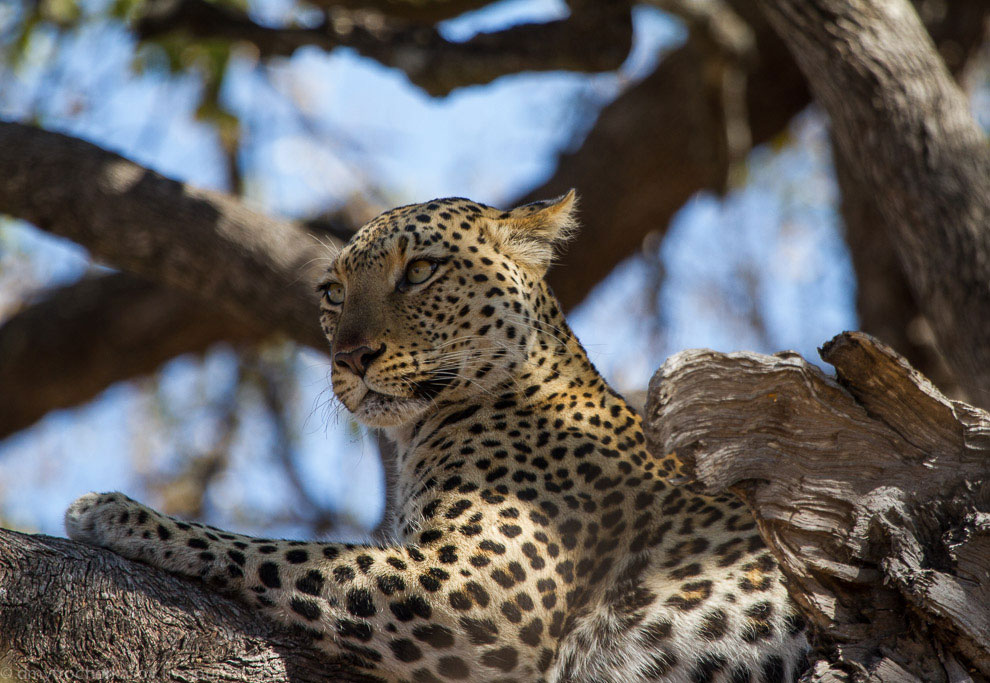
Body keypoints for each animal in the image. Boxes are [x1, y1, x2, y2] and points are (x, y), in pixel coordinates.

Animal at [70, 192, 812, 683]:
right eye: (333, 291)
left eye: (420, 271)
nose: (350, 357)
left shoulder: (479, 592)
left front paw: (118, 514)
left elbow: (283, 553)